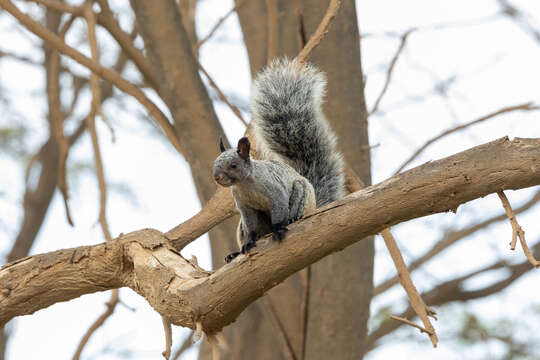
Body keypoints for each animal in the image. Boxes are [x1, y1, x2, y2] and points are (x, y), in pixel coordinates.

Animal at [212, 58, 346, 262]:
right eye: (215, 164)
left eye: (233, 165)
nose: (217, 177)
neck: (245, 185)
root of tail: (314, 206)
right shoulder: (245, 208)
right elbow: (250, 228)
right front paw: (248, 243)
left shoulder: (275, 192)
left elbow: (279, 209)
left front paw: (278, 229)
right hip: (244, 225)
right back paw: (236, 253)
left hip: (300, 194)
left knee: (293, 211)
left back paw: (292, 220)